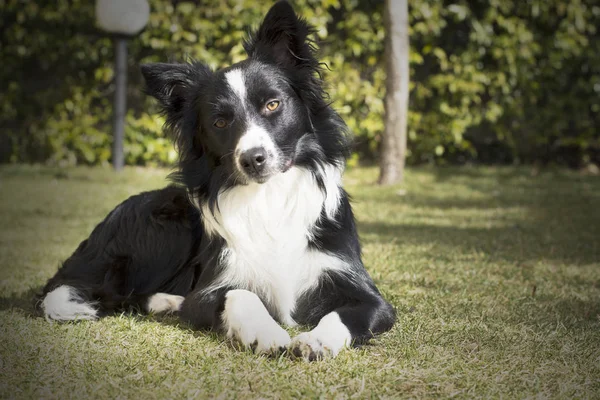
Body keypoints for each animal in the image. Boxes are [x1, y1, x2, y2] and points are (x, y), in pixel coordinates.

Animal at [39, 0, 396, 360]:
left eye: (272, 104)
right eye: (220, 122)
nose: (252, 159)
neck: (268, 196)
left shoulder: (368, 296)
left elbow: (344, 315)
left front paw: (316, 340)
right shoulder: (210, 290)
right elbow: (239, 295)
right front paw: (265, 332)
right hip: (168, 223)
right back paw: (168, 301)